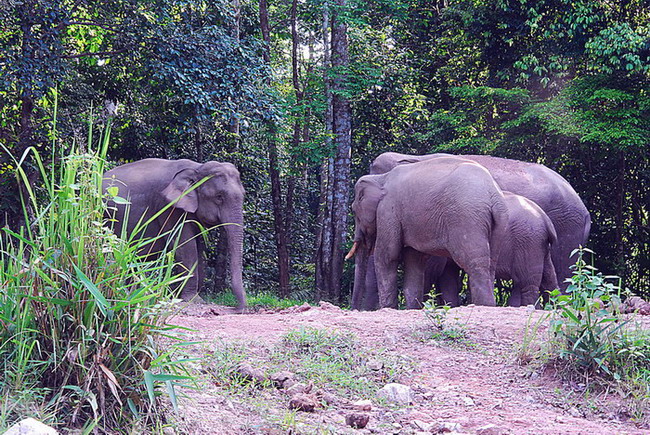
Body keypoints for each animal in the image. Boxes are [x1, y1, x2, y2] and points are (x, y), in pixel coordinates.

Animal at [104, 158, 246, 312]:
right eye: (219, 197)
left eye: (244, 194)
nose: (235, 309)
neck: (197, 168)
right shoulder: (168, 207)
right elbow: (185, 247)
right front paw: (193, 299)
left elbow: (198, 248)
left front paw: (184, 297)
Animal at [346, 155, 508, 308]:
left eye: (353, 211)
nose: (353, 308)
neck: (380, 179)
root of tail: (493, 195)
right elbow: (414, 259)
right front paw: (412, 308)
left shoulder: (388, 211)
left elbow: (387, 255)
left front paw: (388, 308)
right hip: (498, 223)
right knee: (491, 263)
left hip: (466, 219)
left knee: (473, 262)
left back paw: (484, 305)